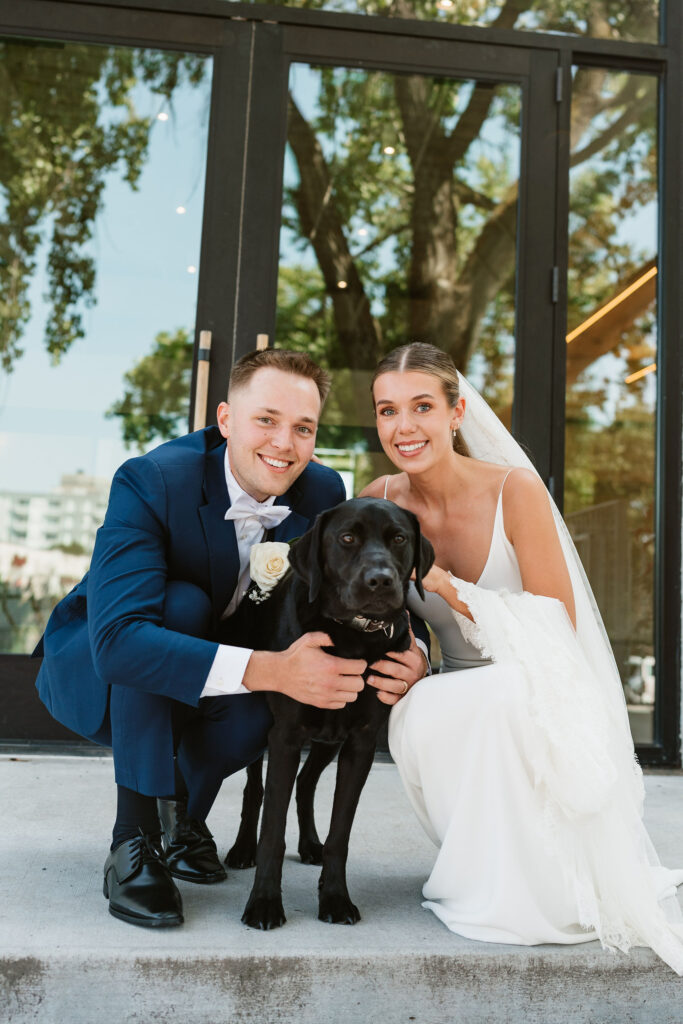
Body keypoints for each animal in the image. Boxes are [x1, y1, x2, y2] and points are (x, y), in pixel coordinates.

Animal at [222, 495, 436, 929]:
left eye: (399, 538)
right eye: (347, 538)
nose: (380, 580)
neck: (352, 637)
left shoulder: (361, 742)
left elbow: (341, 832)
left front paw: (335, 898)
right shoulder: (286, 736)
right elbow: (273, 829)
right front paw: (264, 903)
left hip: (327, 738)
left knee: (306, 784)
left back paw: (310, 844)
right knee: (255, 789)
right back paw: (242, 848)